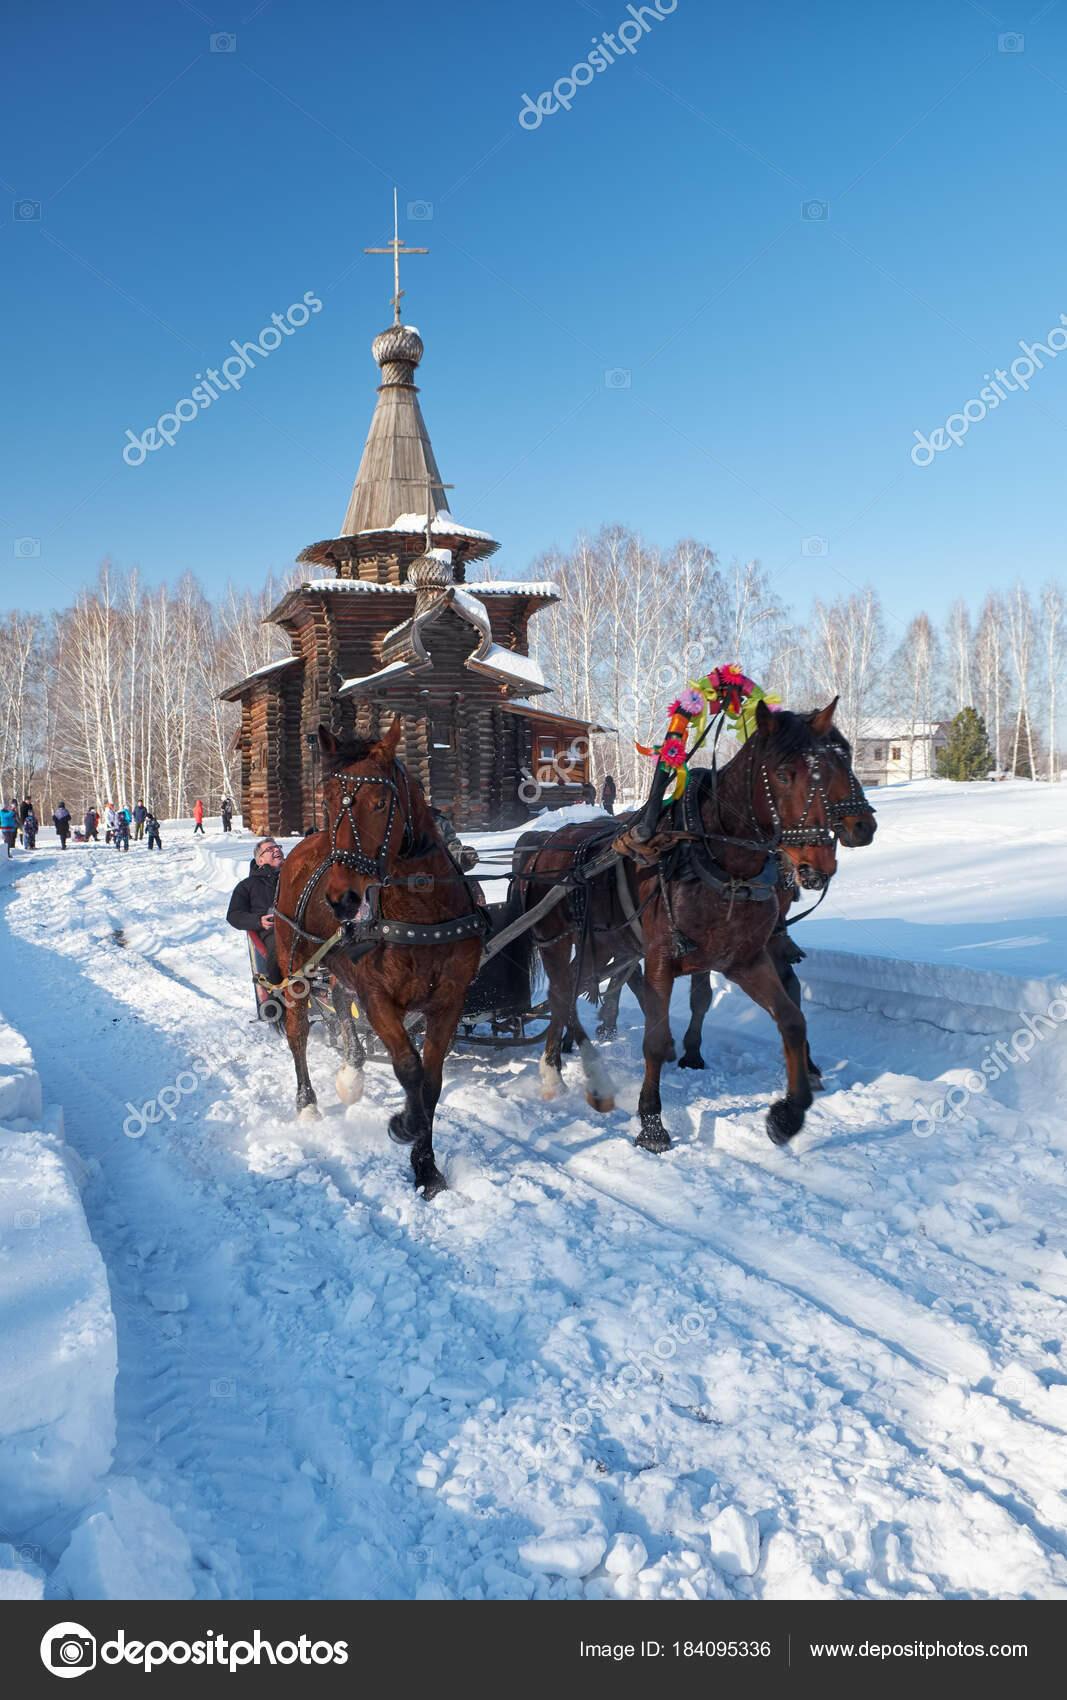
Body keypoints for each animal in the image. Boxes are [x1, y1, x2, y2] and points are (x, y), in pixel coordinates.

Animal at [270, 724, 482, 1203]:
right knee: (298, 1032)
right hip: (296, 968)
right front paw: (407, 1127)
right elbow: (409, 1069)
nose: (343, 898)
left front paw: (427, 1168)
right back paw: (307, 1103)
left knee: (340, 1005)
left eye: (381, 803)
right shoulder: (380, 999)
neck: (421, 913)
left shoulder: (449, 1001)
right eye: (329, 799)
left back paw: (352, 1069)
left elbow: (432, 1079)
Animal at [519, 697, 842, 1149]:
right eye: (781, 774)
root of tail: (544, 845)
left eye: (829, 772)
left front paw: (788, 1113)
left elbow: (791, 1019)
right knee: (562, 993)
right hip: (555, 940)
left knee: (573, 989)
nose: (819, 863)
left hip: (606, 943)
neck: (719, 865)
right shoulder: (661, 959)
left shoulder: (745, 960)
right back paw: (558, 1073)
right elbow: (653, 1039)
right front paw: (652, 1124)